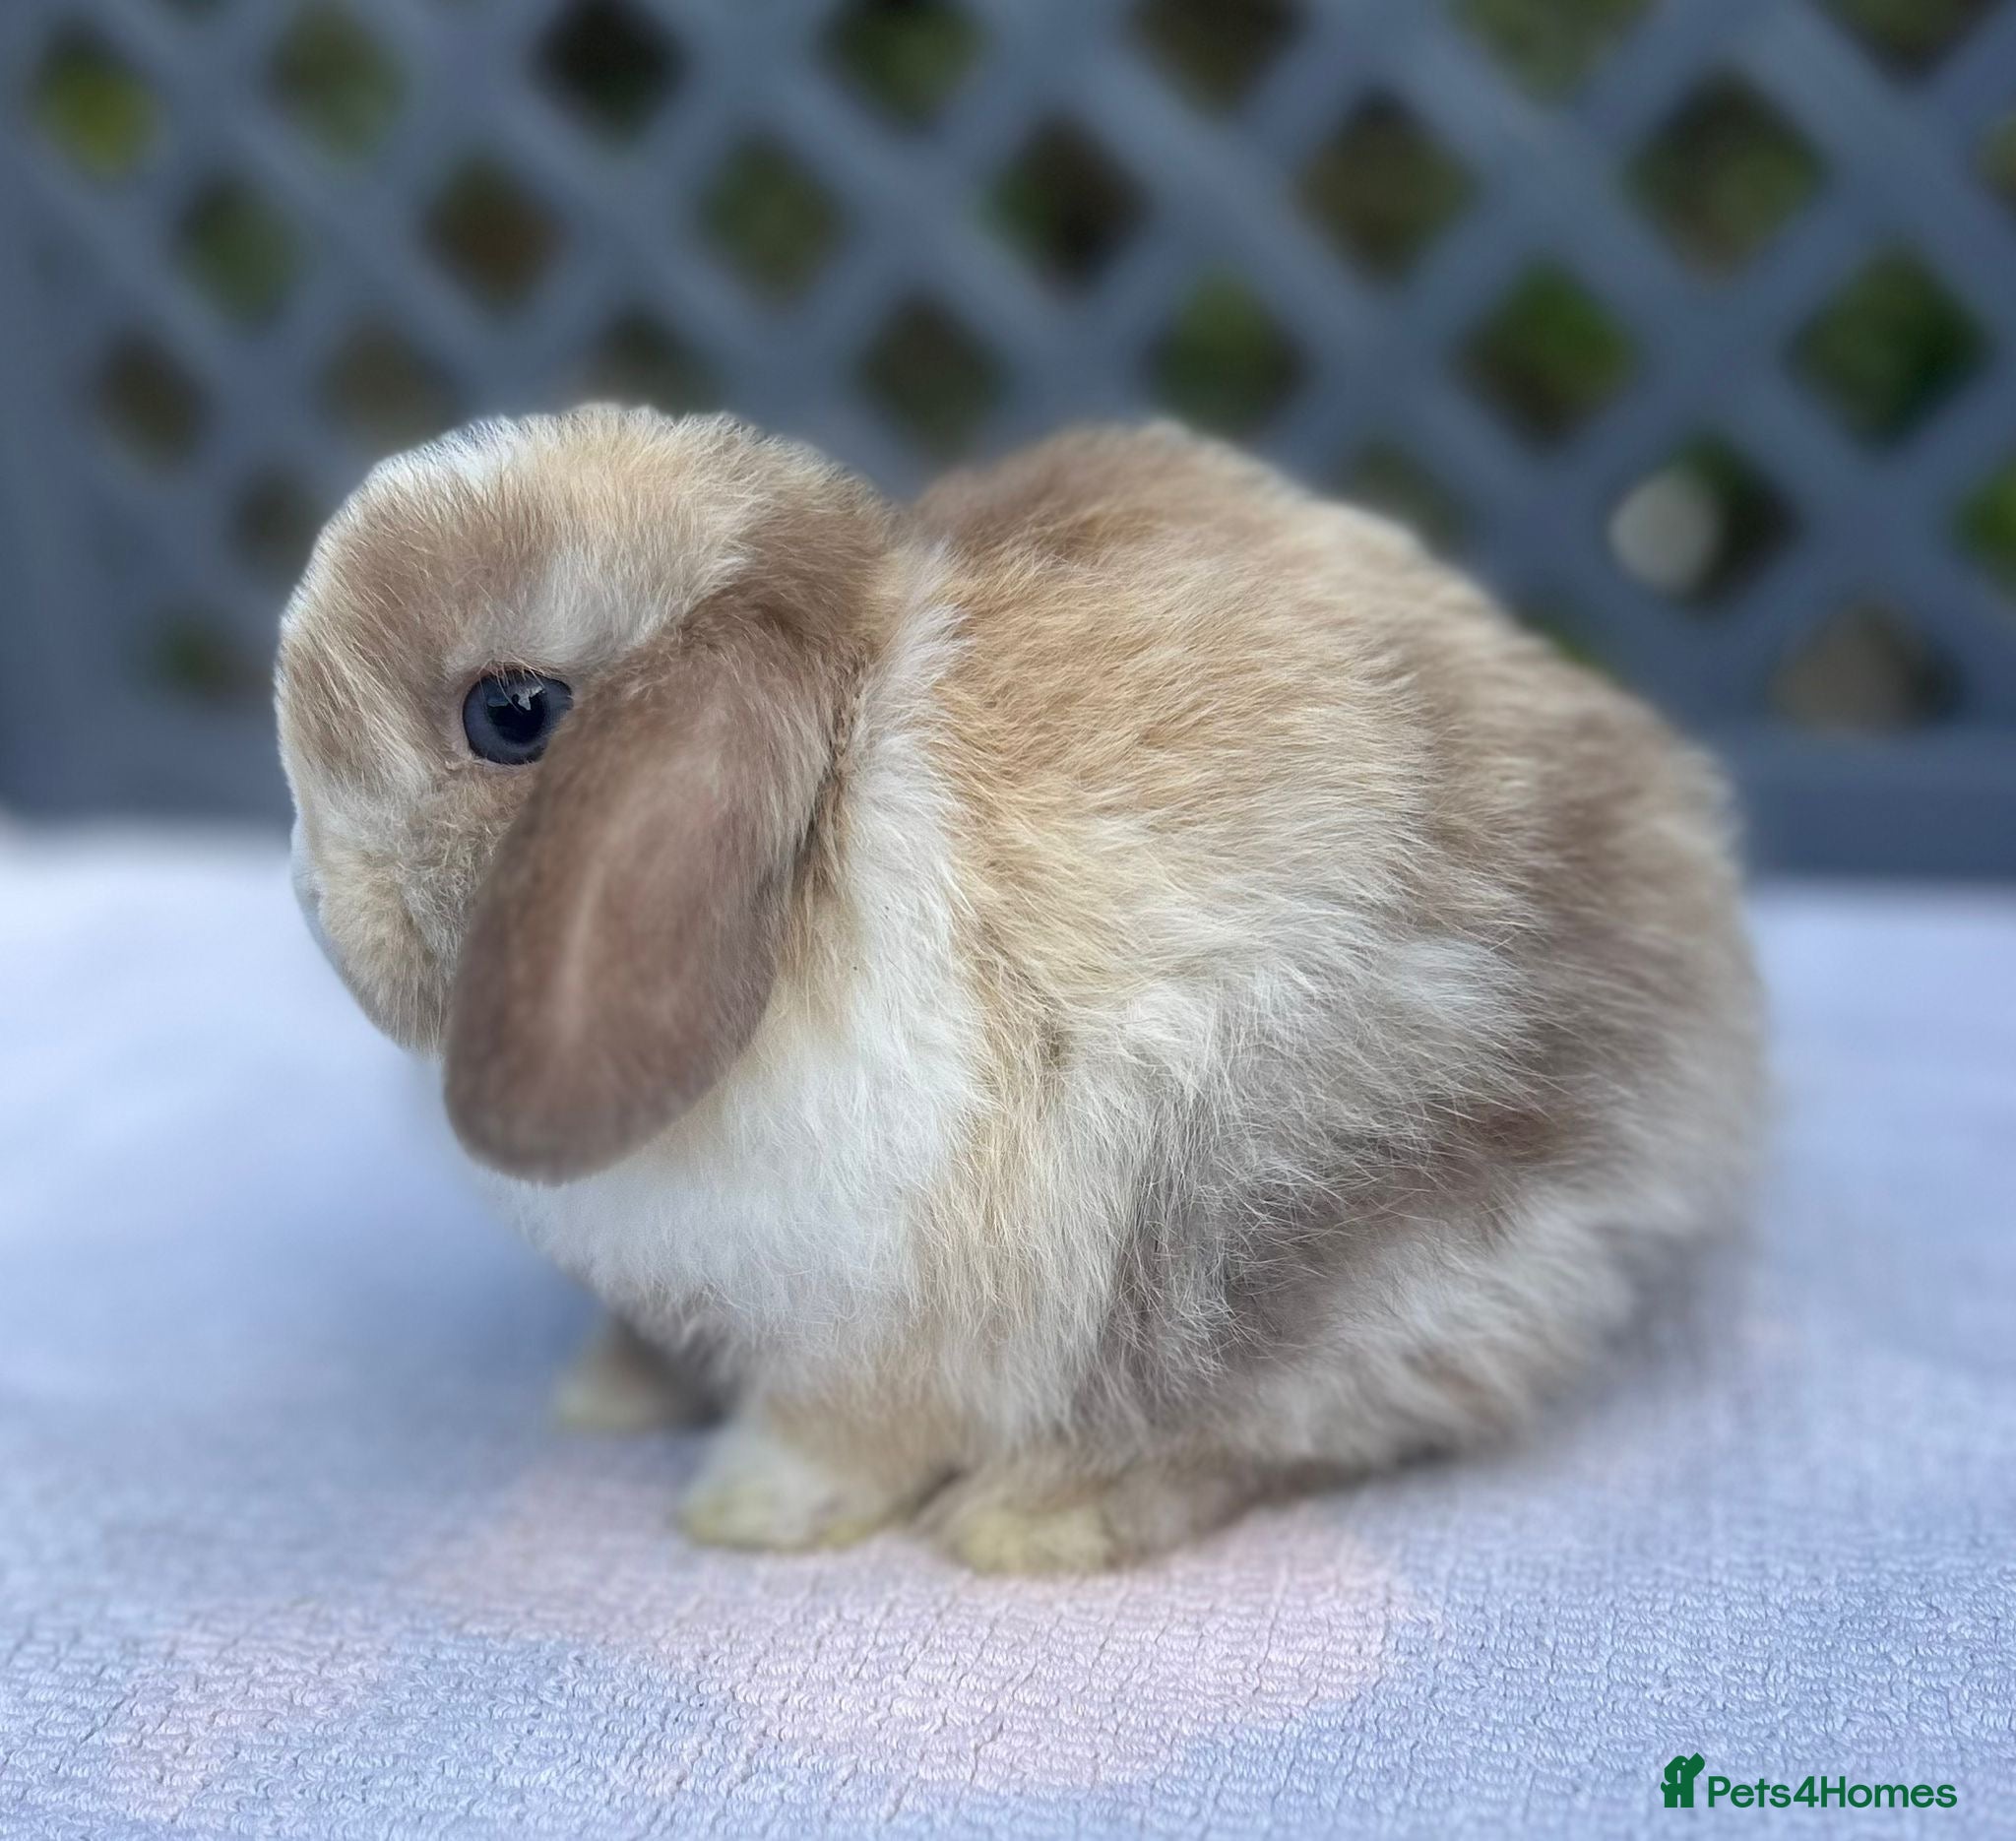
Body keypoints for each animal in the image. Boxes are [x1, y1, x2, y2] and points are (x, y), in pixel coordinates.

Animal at [276, 407, 1761, 1572]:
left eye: (513, 715)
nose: (320, 909)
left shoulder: (889, 1299)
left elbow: (849, 1426)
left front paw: (747, 1503)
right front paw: (610, 1394)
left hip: (1311, 1223)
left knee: (1286, 1417)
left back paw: (1037, 1516)